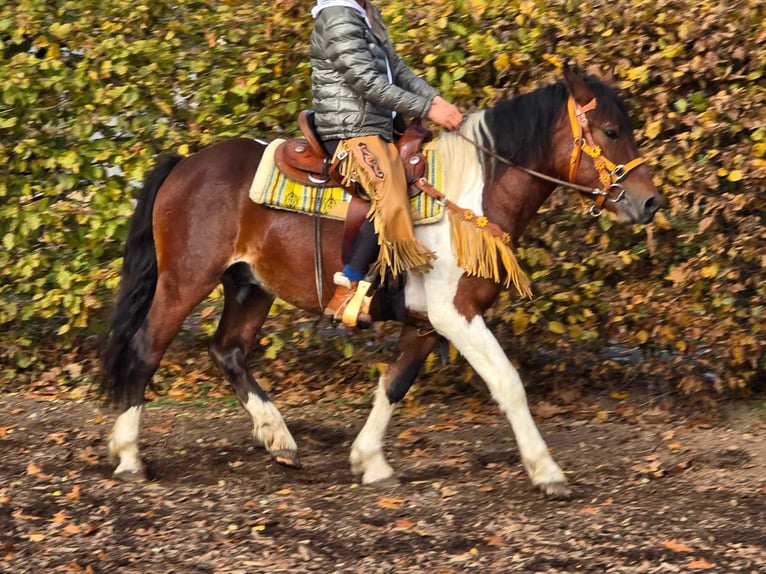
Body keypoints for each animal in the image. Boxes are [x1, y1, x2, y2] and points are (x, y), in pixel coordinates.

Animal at [99, 67, 664, 500]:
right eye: (611, 132)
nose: (649, 202)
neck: (470, 194)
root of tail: (185, 164)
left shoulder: (427, 324)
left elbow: (393, 384)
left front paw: (370, 461)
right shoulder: (456, 316)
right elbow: (508, 383)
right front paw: (547, 472)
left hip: (249, 286)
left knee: (228, 351)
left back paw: (279, 439)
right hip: (185, 280)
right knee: (147, 348)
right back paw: (129, 457)